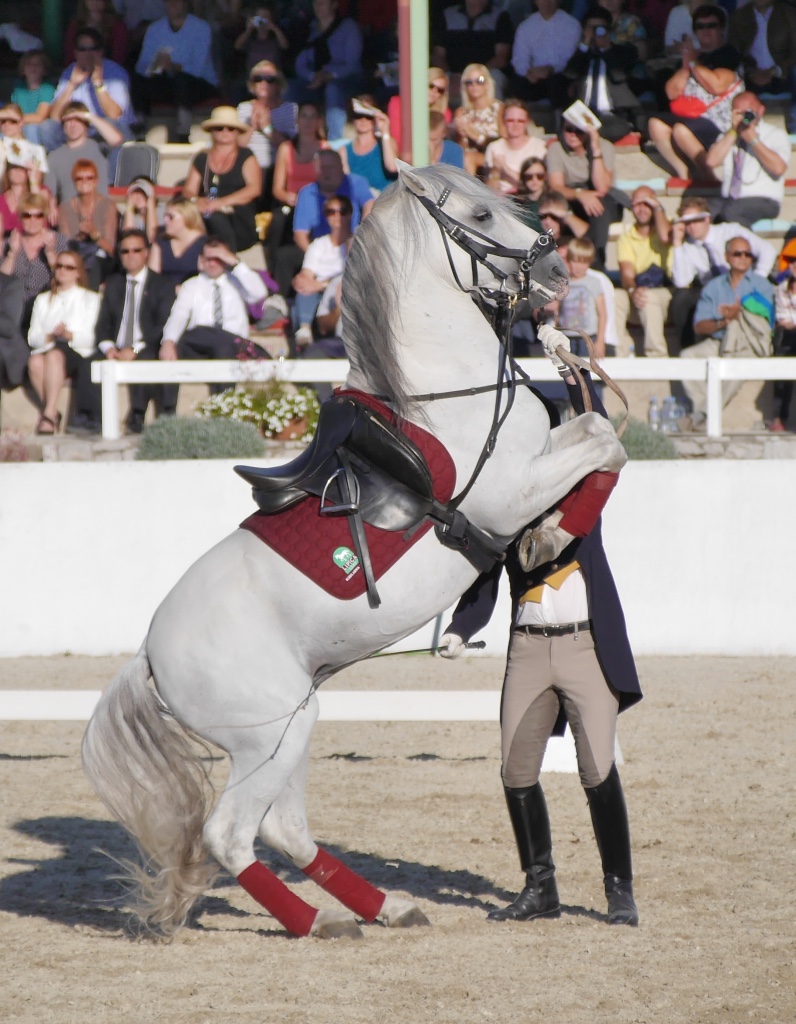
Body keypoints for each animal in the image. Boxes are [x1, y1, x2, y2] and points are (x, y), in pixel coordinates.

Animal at [82, 163, 627, 941]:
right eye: (482, 213)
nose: (556, 269)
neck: (448, 390)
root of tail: (151, 658)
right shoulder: (512, 489)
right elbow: (603, 441)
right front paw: (551, 533)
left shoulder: (543, 457)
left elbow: (595, 431)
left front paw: (550, 533)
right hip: (269, 737)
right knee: (232, 835)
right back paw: (318, 921)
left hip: (293, 728)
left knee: (283, 829)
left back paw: (384, 906)